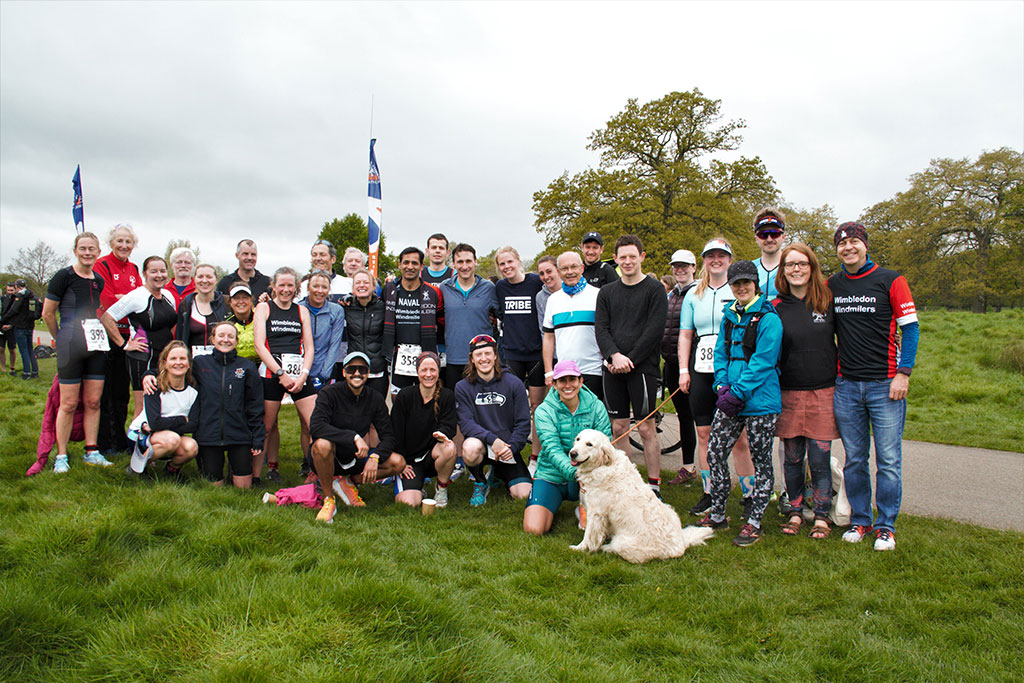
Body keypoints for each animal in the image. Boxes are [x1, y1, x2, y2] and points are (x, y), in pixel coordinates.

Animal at [569, 430, 712, 565]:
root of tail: (680, 545)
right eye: (578, 439)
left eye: (589, 444)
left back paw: (607, 547)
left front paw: (580, 548)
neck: (602, 465)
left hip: (622, 543)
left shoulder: (596, 513)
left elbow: (588, 535)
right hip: (671, 510)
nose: (572, 453)